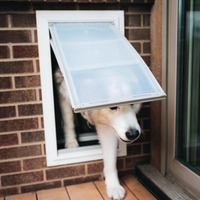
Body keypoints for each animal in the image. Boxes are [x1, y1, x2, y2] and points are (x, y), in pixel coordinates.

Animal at [54, 68, 141, 199]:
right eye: (113, 107)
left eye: (132, 102)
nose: (133, 134)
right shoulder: (62, 89)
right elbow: (69, 121)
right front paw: (71, 142)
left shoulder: (107, 125)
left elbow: (110, 158)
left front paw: (113, 186)